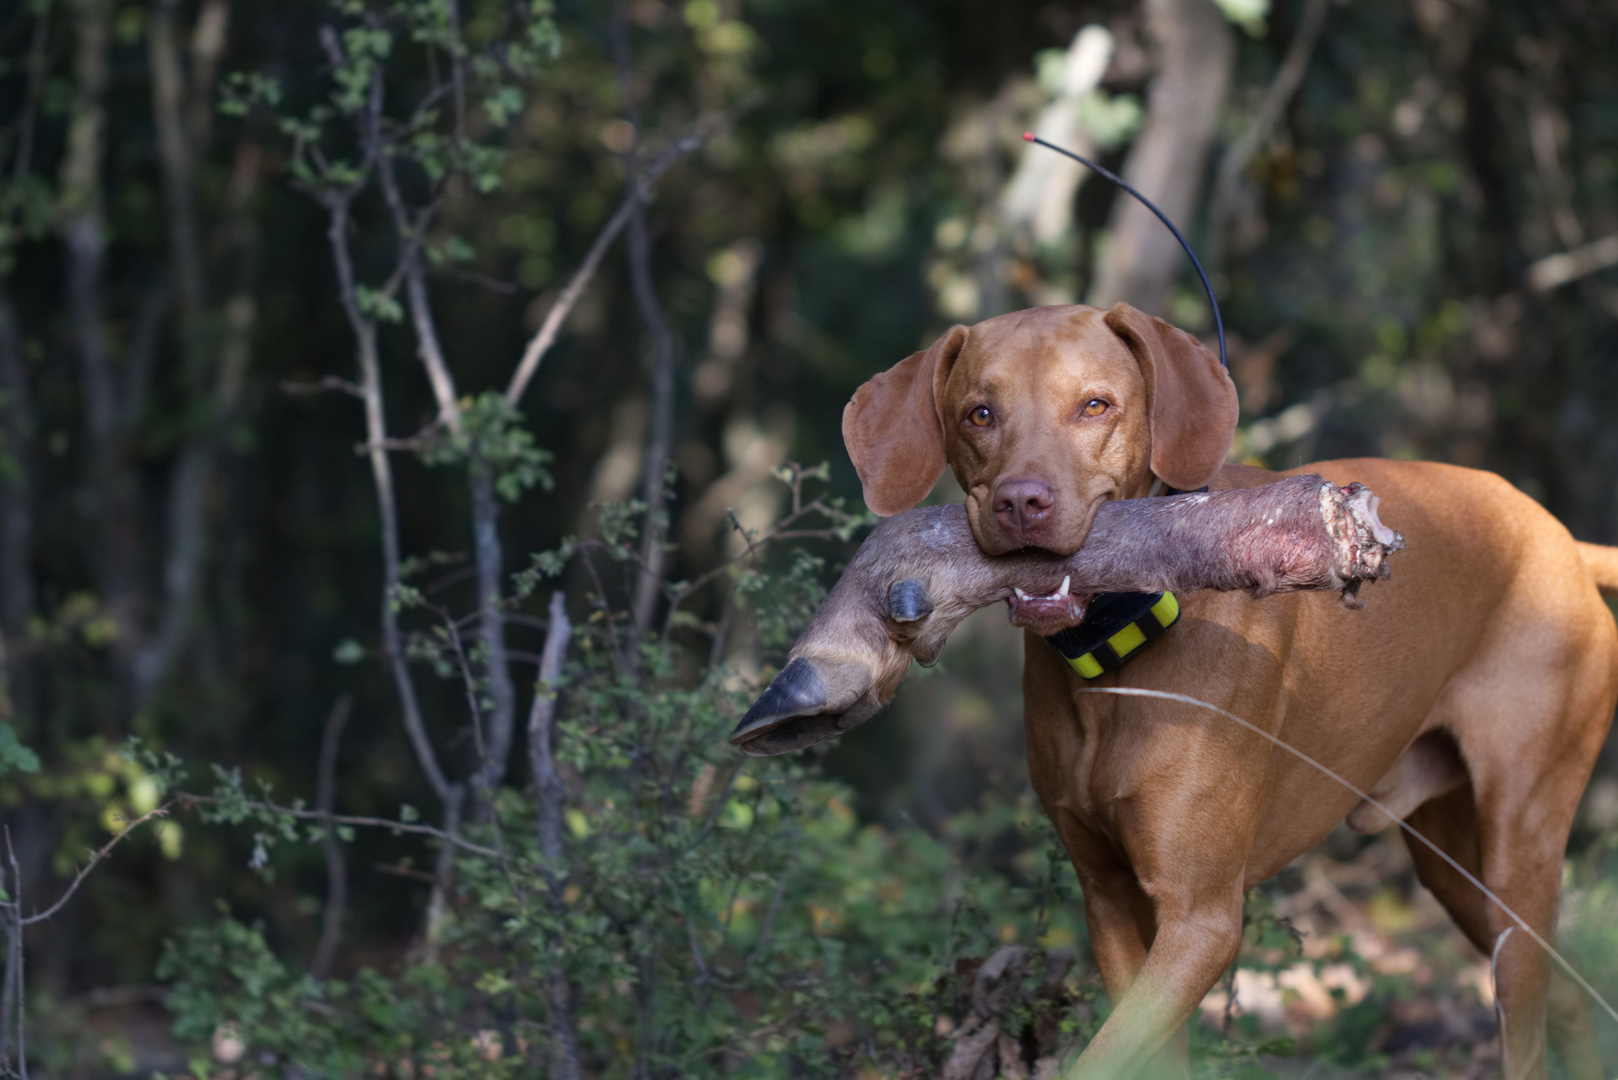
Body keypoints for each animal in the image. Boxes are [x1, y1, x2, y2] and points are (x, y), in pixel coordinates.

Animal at [841, 304, 1618, 1080]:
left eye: (1095, 406)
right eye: (980, 414)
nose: (1020, 502)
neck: (1118, 660)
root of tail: (1563, 542)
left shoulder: (1202, 920)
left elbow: (1101, 1057)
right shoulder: (1112, 904)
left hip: (1520, 850)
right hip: (1455, 869)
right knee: (1565, 993)